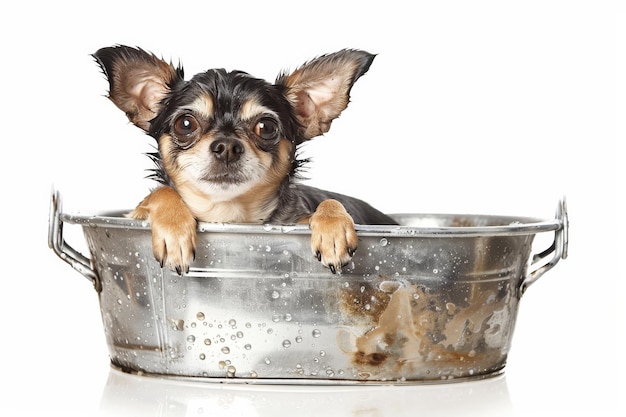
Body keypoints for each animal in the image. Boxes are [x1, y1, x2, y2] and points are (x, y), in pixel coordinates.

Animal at [92, 45, 394, 274]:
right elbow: (160, 192)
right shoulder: (133, 214)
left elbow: (330, 202)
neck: (228, 213)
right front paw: (174, 232)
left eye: (266, 127)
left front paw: (333, 230)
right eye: (185, 124)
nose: (226, 146)